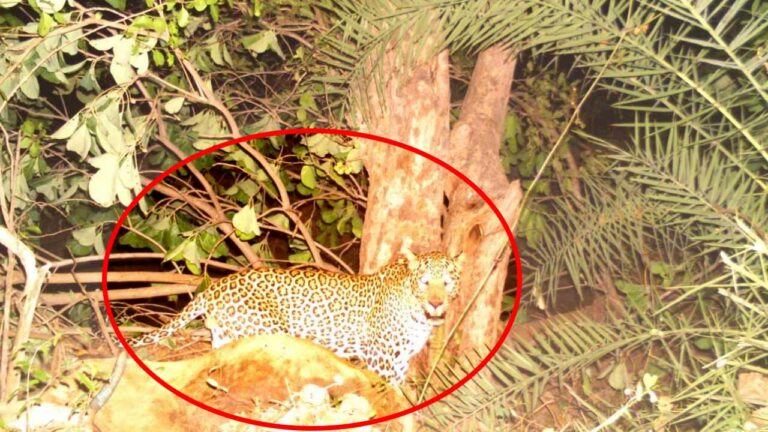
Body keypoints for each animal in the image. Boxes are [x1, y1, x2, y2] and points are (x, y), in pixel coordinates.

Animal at [128, 250, 462, 384]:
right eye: (425, 282)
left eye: (446, 283)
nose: (435, 304)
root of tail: (216, 286)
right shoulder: (381, 357)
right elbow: (389, 388)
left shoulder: (401, 358)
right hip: (266, 330)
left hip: (226, 336)